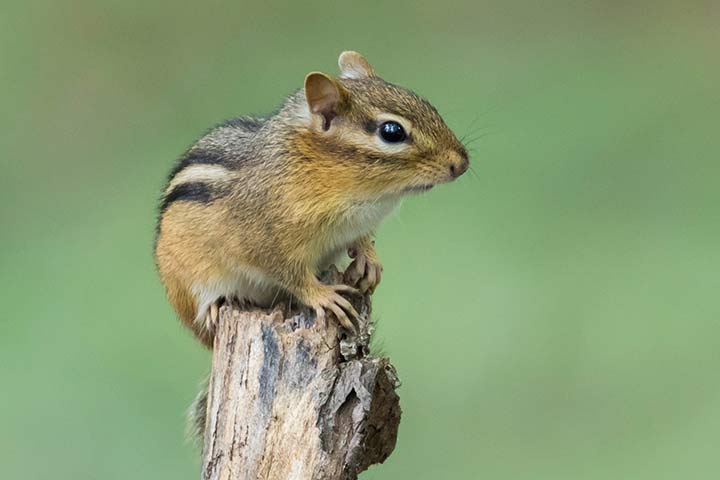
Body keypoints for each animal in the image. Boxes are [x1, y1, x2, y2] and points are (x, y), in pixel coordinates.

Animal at [154, 51, 469, 348]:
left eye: (430, 107)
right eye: (392, 131)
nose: (462, 163)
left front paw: (368, 257)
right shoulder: (264, 239)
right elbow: (290, 274)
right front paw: (323, 295)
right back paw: (213, 309)